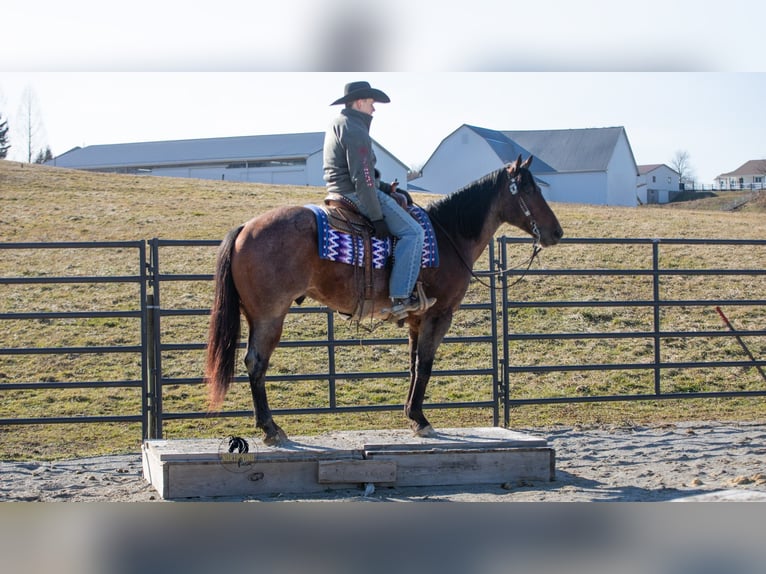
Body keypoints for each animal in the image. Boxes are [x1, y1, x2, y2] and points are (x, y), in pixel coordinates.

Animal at [205, 155, 563, 445]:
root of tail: (245, 228)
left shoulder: (418, 320)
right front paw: (421, 420)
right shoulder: (439, 315)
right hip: (270, 316)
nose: (557, 233)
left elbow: (414, 365)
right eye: (529, 189)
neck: (448, 234)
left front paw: (411, 415)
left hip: (256, 316)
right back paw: (271, 429)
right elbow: (426, 364)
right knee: (256, 363)